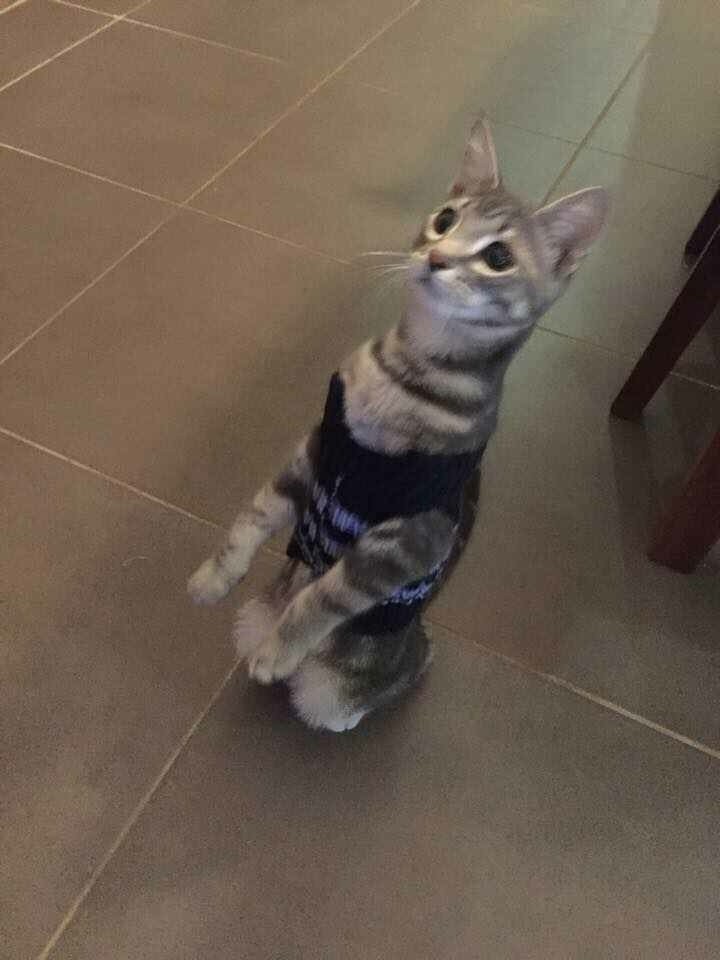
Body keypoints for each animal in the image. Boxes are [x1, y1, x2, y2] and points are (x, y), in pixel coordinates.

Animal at [188, 115, 608, 732]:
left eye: (498, 257)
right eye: (445, 220)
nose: (437, 259)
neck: (398, 377)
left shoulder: (412, 537)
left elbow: (324, 596)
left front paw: (281, 648)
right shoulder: (319, 448)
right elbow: (254, 513)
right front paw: (215, 576)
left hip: (349, 680)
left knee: (363, 686)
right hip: (254, 614)